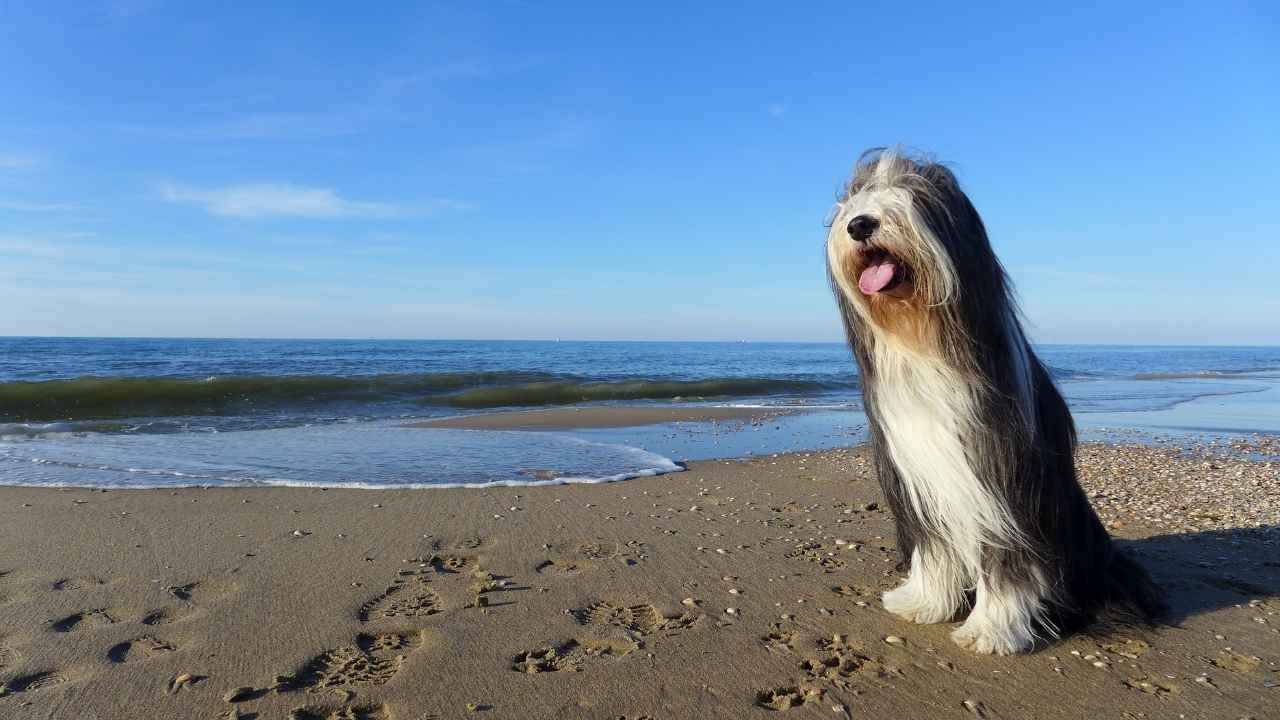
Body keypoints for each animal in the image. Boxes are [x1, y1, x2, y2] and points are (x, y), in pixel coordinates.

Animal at [824, 148, 1167, 653]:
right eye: (855, 196)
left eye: (914, 194)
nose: (860, 224)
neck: (926, 343)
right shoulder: (920, 480)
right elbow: (935, 550)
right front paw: (923, 602)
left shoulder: (1005, 487)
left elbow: (1010, 563)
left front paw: (992, 629)